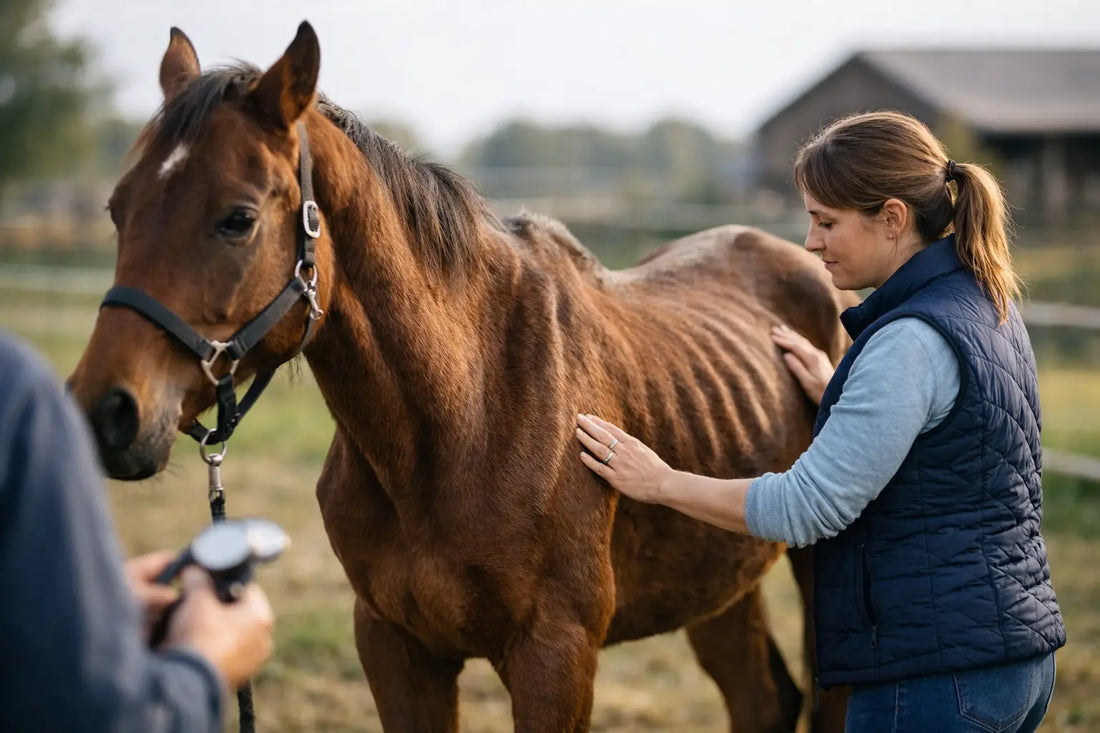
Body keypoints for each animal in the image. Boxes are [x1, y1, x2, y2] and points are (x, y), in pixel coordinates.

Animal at [67, 22, 854, 732]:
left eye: (237, 218)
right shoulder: (395, 647)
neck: (462, 419)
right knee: (762, 699)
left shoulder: (554, 657)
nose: (105, 413)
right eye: (117, 209)